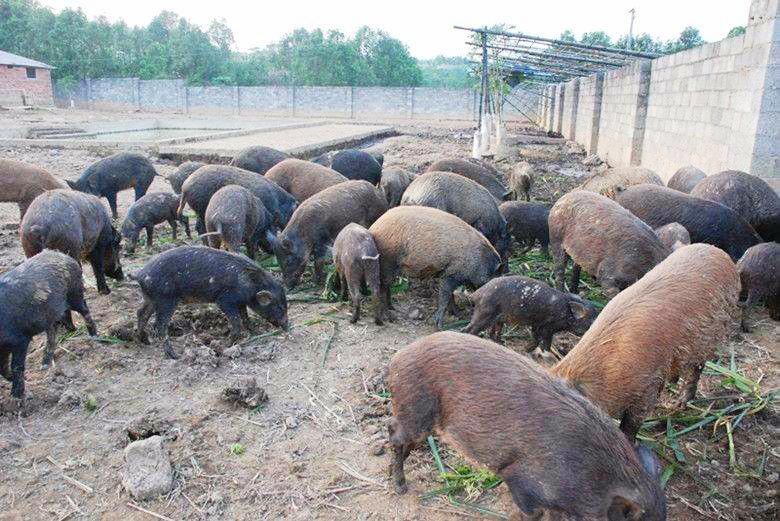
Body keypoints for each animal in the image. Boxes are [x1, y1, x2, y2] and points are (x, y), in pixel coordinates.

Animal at [0, 250, 97, 396]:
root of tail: (66, 256)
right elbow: (3, 368)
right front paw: (12, 382)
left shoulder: (21, 340)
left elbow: (17, 366)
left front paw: (16, 396)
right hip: (51, 313)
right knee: (53, 329)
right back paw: (45, 364)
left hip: (75, 293)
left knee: (84, 309)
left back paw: (94, 337)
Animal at [131, 245, 290, 358]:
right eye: (279, 307)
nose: (288, 326)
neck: (250, 284)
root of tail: (140, 274)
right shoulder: (225, 300)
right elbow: (236, 322)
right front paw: (226, 345)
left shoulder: (240, 302)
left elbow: (245, 318)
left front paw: (254, 332)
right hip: (166, 299)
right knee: (160, 325)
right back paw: (174, 355)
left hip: (151, 298)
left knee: (141, 313)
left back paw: (145, 341)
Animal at [388, 332, 664, 516]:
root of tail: (398, 357)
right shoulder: (520, 480)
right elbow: (533, 513)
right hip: (415, 409)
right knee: (394, 433)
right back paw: (400, 487)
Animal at [464, 274, 596, 352]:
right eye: (591, 321)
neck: (566, 313)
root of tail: (476, 294)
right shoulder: (547, 327)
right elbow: (545, 343)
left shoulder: (536, 324)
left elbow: (536, 338)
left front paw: (527, 350)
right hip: (484, 314)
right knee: (469, 330)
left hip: (497, 320)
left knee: (492, 334)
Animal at [552, 243, 740, 434]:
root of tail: (718, 252)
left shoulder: (649, 385)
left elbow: (632, 424)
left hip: (709, 337)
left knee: (696, 368)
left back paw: (679, 404)